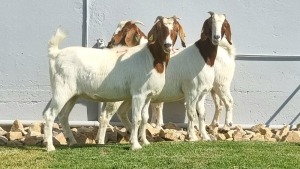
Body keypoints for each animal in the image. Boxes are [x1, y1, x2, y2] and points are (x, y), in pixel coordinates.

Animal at [43, 15, 177, 151]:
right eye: (159, 29)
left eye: (175, 30)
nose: (168, 45)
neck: (149, 56)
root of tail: (56, 54)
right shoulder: (138, 94)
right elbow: (136, 118)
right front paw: (135, 145)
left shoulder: (147, 95)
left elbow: (144, 118)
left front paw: (144, 141)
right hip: (61, 90)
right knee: (49, 115)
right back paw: (50, 147)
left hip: (72, 95)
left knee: (63, 116)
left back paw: (73, 142)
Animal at [96, 11, 232, 144]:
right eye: (210, 23)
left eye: (125, 30)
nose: (111, 43)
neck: (202, 55)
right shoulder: (189, 91)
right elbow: (188, 112)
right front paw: (192, 136)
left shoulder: (199, 92)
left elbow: (200, 114)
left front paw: (203, 137)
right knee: (106, 116)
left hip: (221, 84)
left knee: (226, 102)